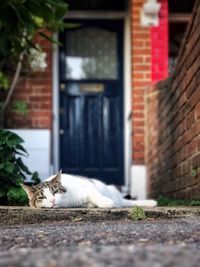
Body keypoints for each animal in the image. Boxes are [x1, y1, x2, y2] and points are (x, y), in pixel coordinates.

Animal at [21, 172, 157, 209]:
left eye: (55, 192)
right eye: (42, 197)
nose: (52, 200)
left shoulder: (87, 187)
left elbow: (94, 194)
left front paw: (105, 203)